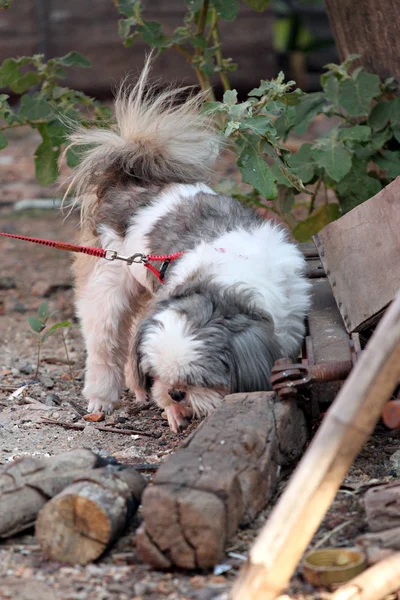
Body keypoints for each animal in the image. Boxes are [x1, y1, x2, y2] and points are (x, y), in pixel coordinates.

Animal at [67, 56, 310, 432]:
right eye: (160, 375)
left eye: (203, 380)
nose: (176, 393)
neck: (227, 280)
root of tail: (132, 177)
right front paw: (170, 411)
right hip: (107, 287)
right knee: (104, 346)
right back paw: (102, 398)